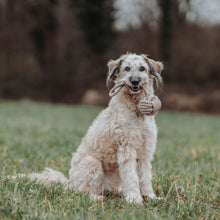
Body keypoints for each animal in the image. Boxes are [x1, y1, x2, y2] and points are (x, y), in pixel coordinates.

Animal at [12, 53, 163, 205]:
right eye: (127, 68)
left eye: (142, 68)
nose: (135, 81)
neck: (136, 109)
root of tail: (70, 182)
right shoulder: (127, 150)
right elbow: (131, 177)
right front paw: (134, 199)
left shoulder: (145, 152)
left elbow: (145, 177)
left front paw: (150, 196)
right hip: (91, 162)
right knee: (82, 192)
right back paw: (96, 197)